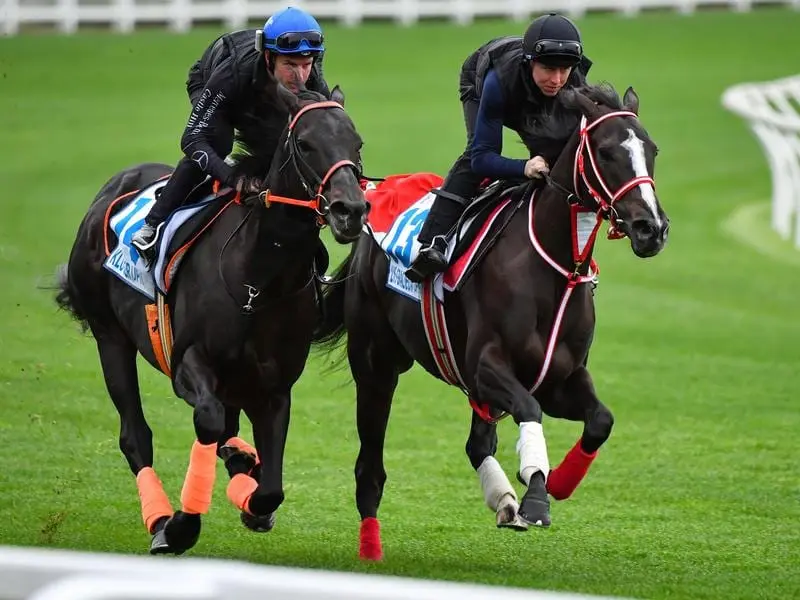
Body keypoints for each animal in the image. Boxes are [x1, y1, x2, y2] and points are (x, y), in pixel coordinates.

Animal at [56, 82, 368, 556]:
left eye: (356, 144)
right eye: (305, 143)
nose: (349, 209)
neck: (257, 280)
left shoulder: (274, 386)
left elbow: (270, 487)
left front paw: (251, 496)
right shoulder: (187, 362)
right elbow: (208, 419)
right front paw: (182, 525)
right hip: (110, 337)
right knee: (137, 435)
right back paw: (160, 518)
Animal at [312, 82, 668, 560]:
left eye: (652, 149)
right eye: (607, 151)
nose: (652, 228)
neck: (554, 269)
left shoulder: (560, 376)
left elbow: (600, 420)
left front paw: (557, 483)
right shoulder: (486, 366)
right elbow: (529, 409)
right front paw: (537, 495)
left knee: (477, 442)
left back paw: (503, 501)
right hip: (376, 363)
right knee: (370, 462)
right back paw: (371, 545)